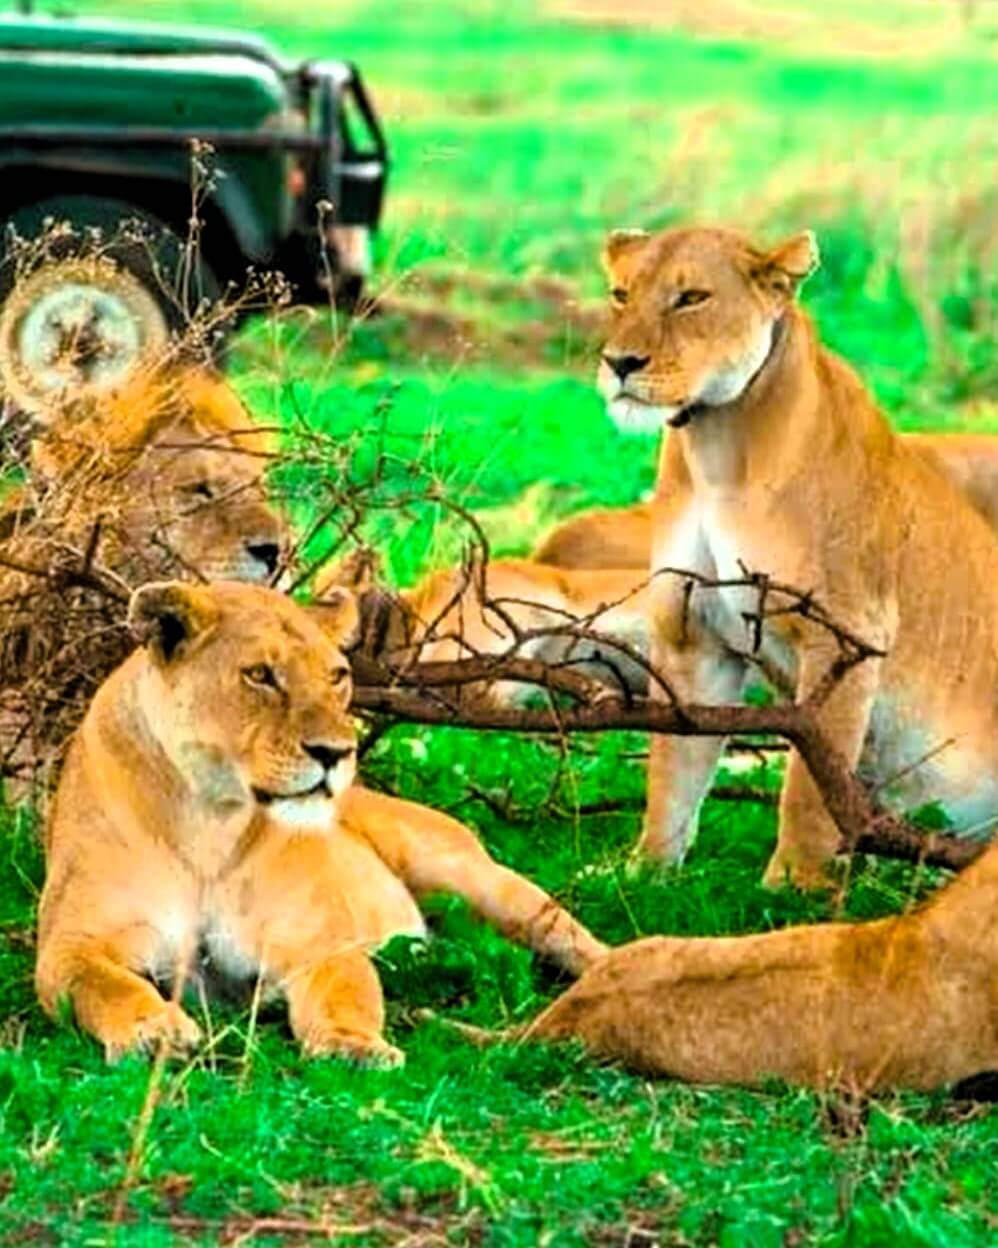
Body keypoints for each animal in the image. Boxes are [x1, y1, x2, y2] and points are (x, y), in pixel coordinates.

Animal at [35, 581, 606, 1063]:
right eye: (260, 675)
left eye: (338, 676)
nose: (336, 753)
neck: (211, 825)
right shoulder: (72, 941)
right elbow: (102, 984)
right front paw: (154, 1029)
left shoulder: (318, 941)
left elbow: (345, 992)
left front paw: (353, 1046)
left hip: (480, 881)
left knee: (583, 945)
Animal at [597, 223, 998, 887]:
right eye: (620, 294)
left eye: (691, 298)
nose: (619, 363)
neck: (718, 449)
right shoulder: (692, 635)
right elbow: (671, 772)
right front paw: (645, 871)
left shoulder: (844, 635)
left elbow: (809, 787)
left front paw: (791, 888)